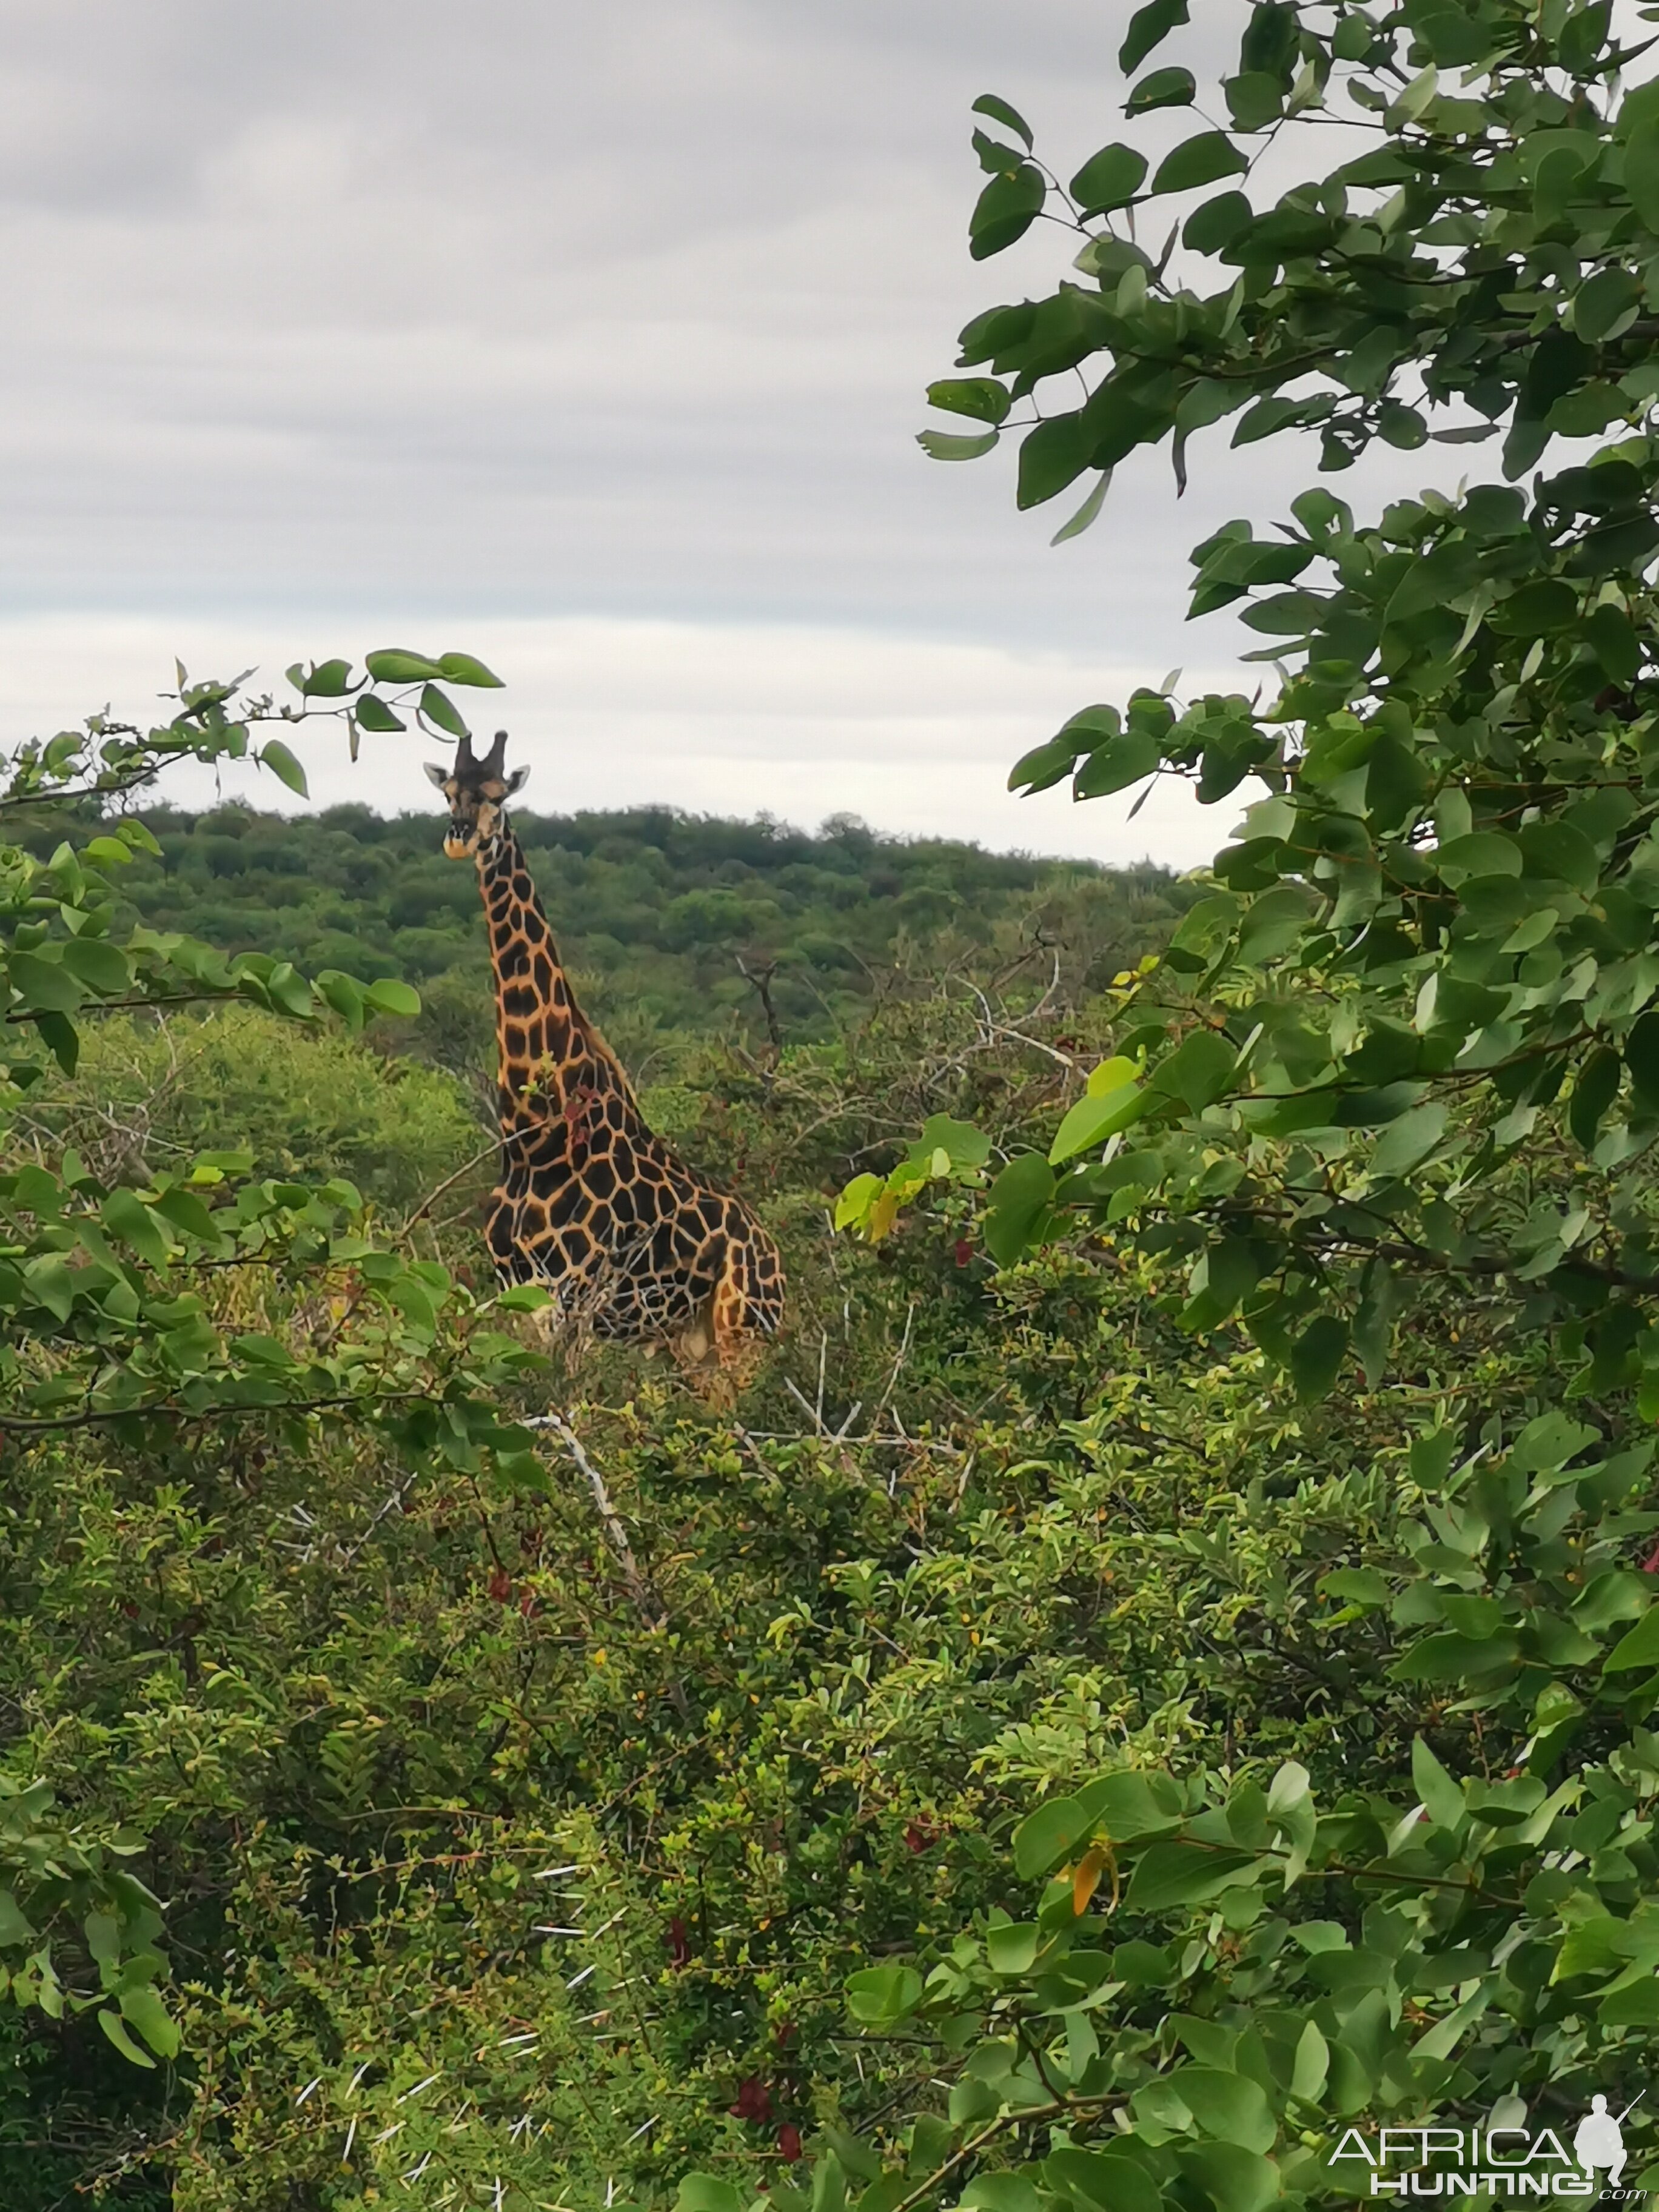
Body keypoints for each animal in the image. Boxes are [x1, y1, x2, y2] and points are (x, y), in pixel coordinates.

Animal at [429, 725, 791, 1380]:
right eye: (448, 792)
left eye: (498, 795)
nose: (460, 837)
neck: (533, 1135)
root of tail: (777, 1262)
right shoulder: (519, 1293)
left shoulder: (576, 1298)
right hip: (690, 1344)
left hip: (743, 1333)